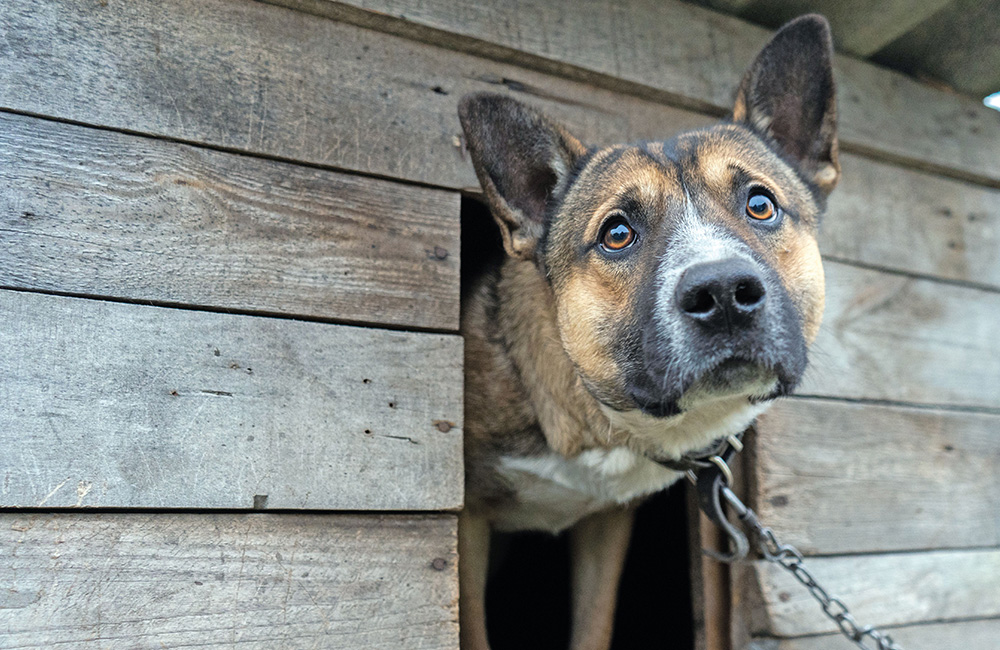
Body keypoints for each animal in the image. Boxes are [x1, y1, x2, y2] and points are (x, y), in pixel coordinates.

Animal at [458, 15, 840, 648]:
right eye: (617, 235)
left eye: (760, 205)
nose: (723, 292)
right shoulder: (465, 523)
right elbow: (470, 625)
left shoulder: (607, 525)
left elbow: (593, 625)